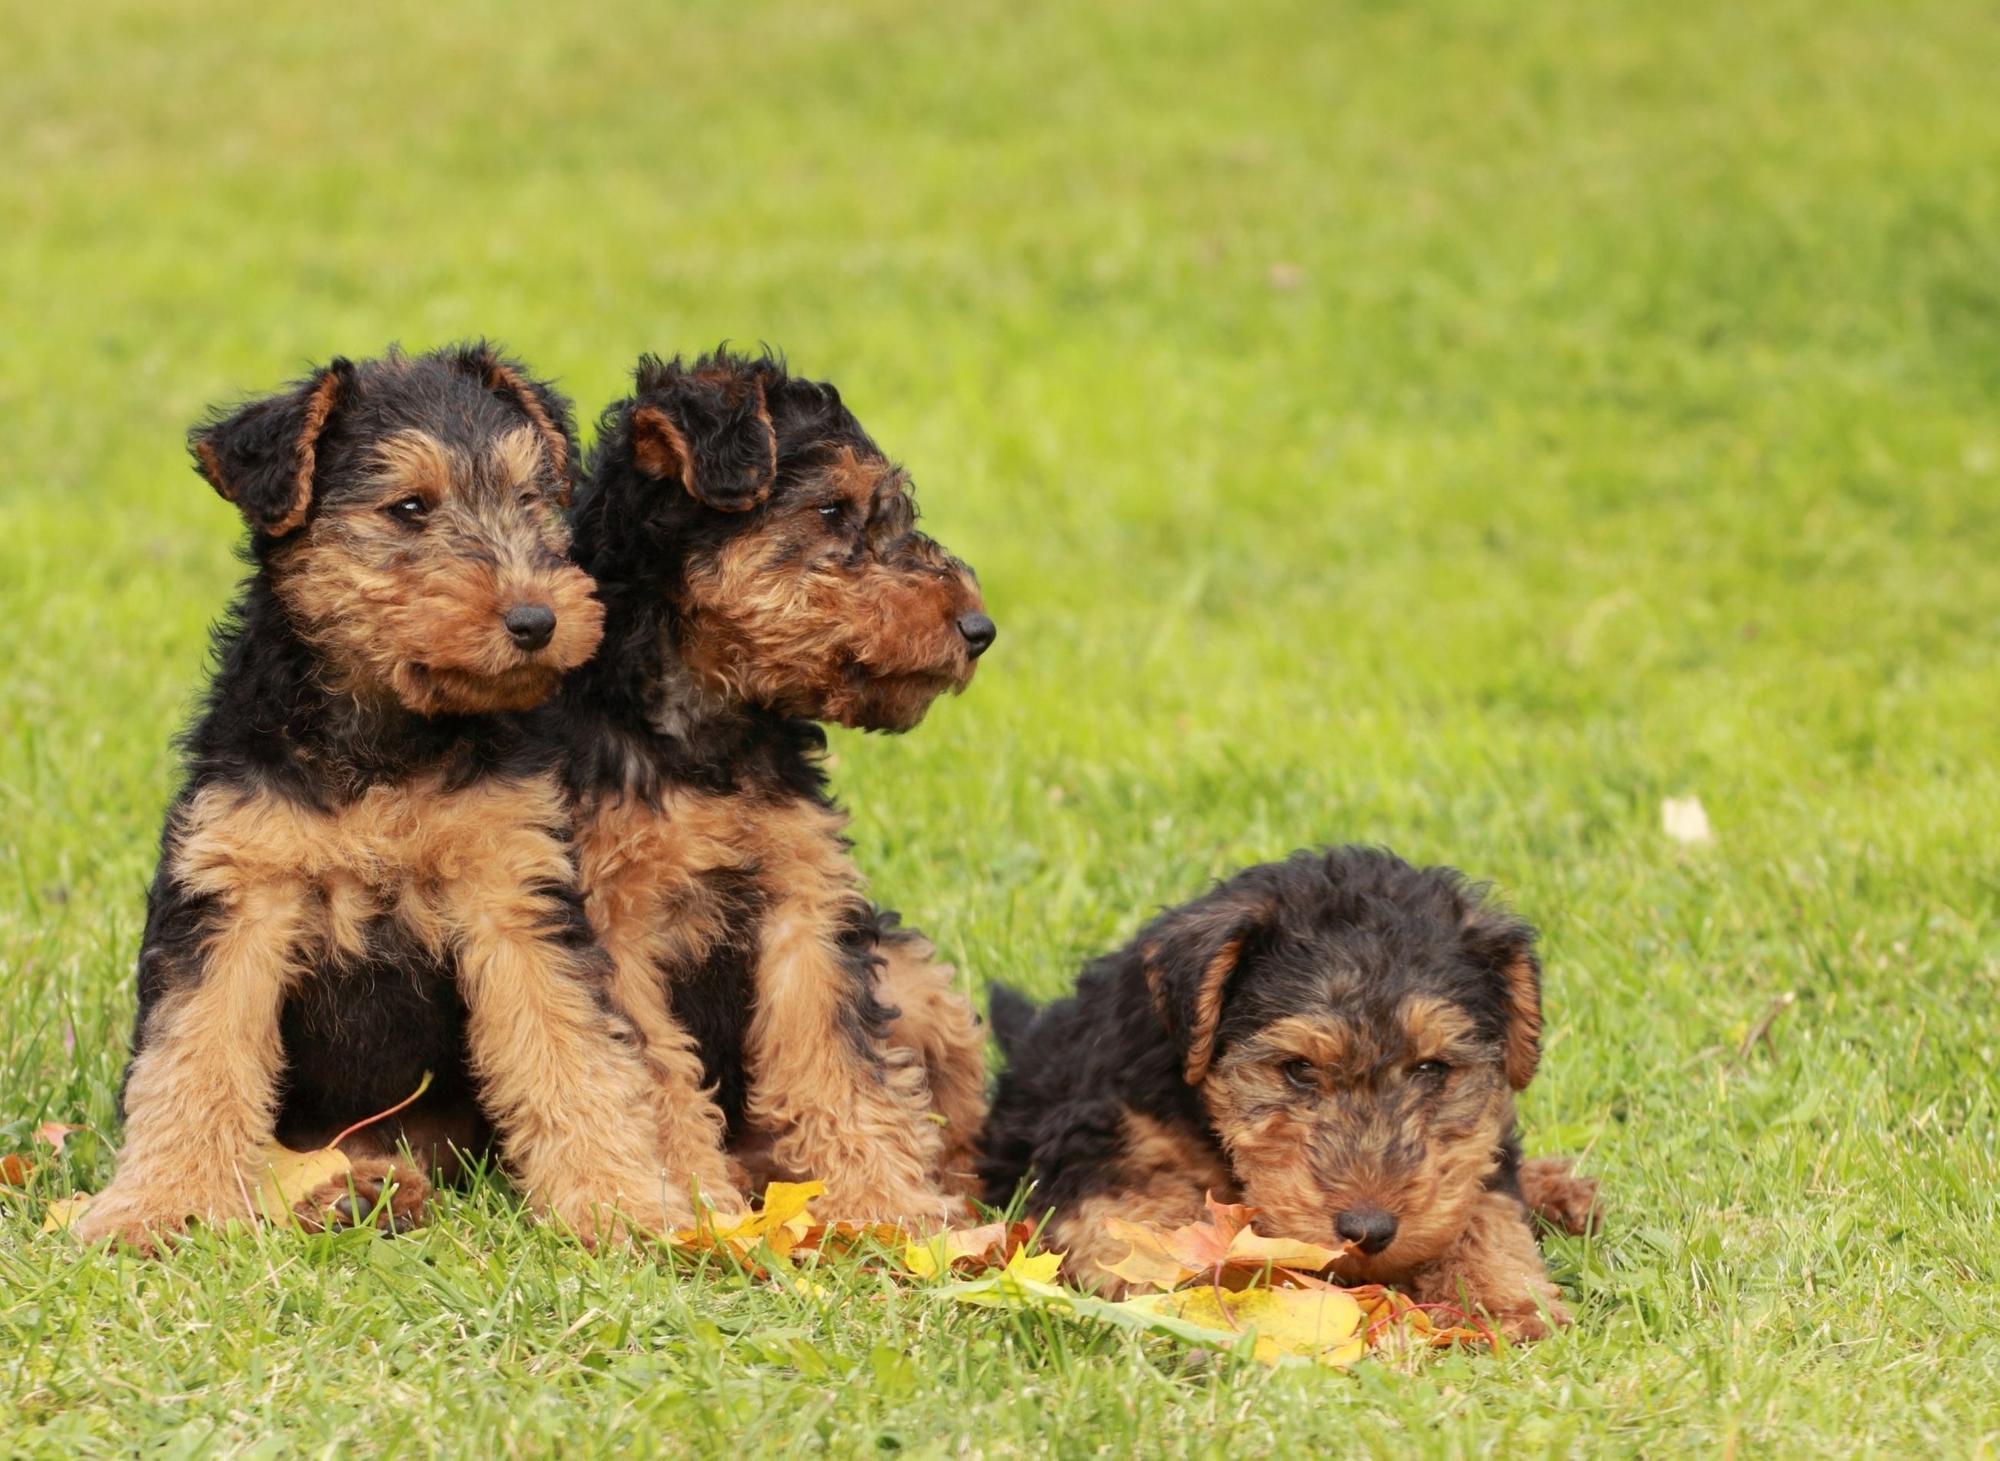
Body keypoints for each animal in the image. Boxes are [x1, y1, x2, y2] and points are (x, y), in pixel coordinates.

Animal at [80, 342, 680, 1240]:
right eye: (408, 507)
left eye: (530, 497)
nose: (537, 620)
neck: (385, 744)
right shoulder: (235, 895)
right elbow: (194, 1060)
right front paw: (155, 1208)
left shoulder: (515, 894)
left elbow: (573, 1057)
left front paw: (624, 1205)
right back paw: (346, 1192)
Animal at [548, 350, 992, 1216]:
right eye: (830, 507)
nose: (978, 628)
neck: (706, 734)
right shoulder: (615, 923)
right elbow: (656, 1075)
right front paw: (698, 1209)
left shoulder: (805, 906)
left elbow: (843, 1068)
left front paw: (893, 1209)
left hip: (910, 969)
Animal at [976, 840, 1600, 1328]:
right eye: (1298, 1068)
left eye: (1431, 1069)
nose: (1368, 1231)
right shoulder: (1100, 1137)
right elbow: (1141, 1221)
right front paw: (1189, 1285)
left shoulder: (1474, 1147)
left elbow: (1484, 1208)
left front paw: (1505, 1301)